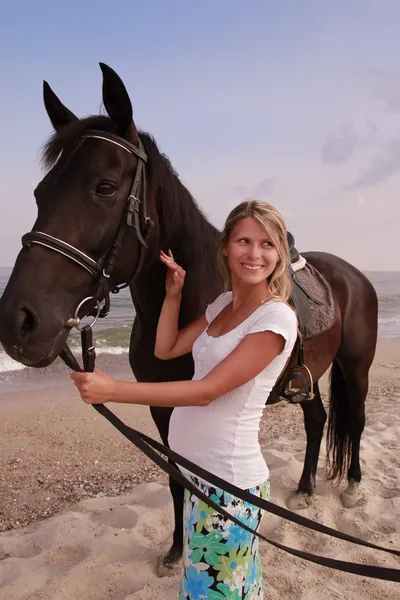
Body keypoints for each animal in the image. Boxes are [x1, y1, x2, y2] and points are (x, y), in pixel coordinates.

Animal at [0, 65, 378, 568]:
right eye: (41, 193)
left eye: (105, 187)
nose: (17, 322)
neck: (194, 297)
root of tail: (355, 275)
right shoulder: (162, 404)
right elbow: (176, 476)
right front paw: (178, 548)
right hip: (310, 376)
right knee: (316, 419)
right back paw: (304, 488)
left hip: (355, 368)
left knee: (355, 420)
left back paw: (352, 486)